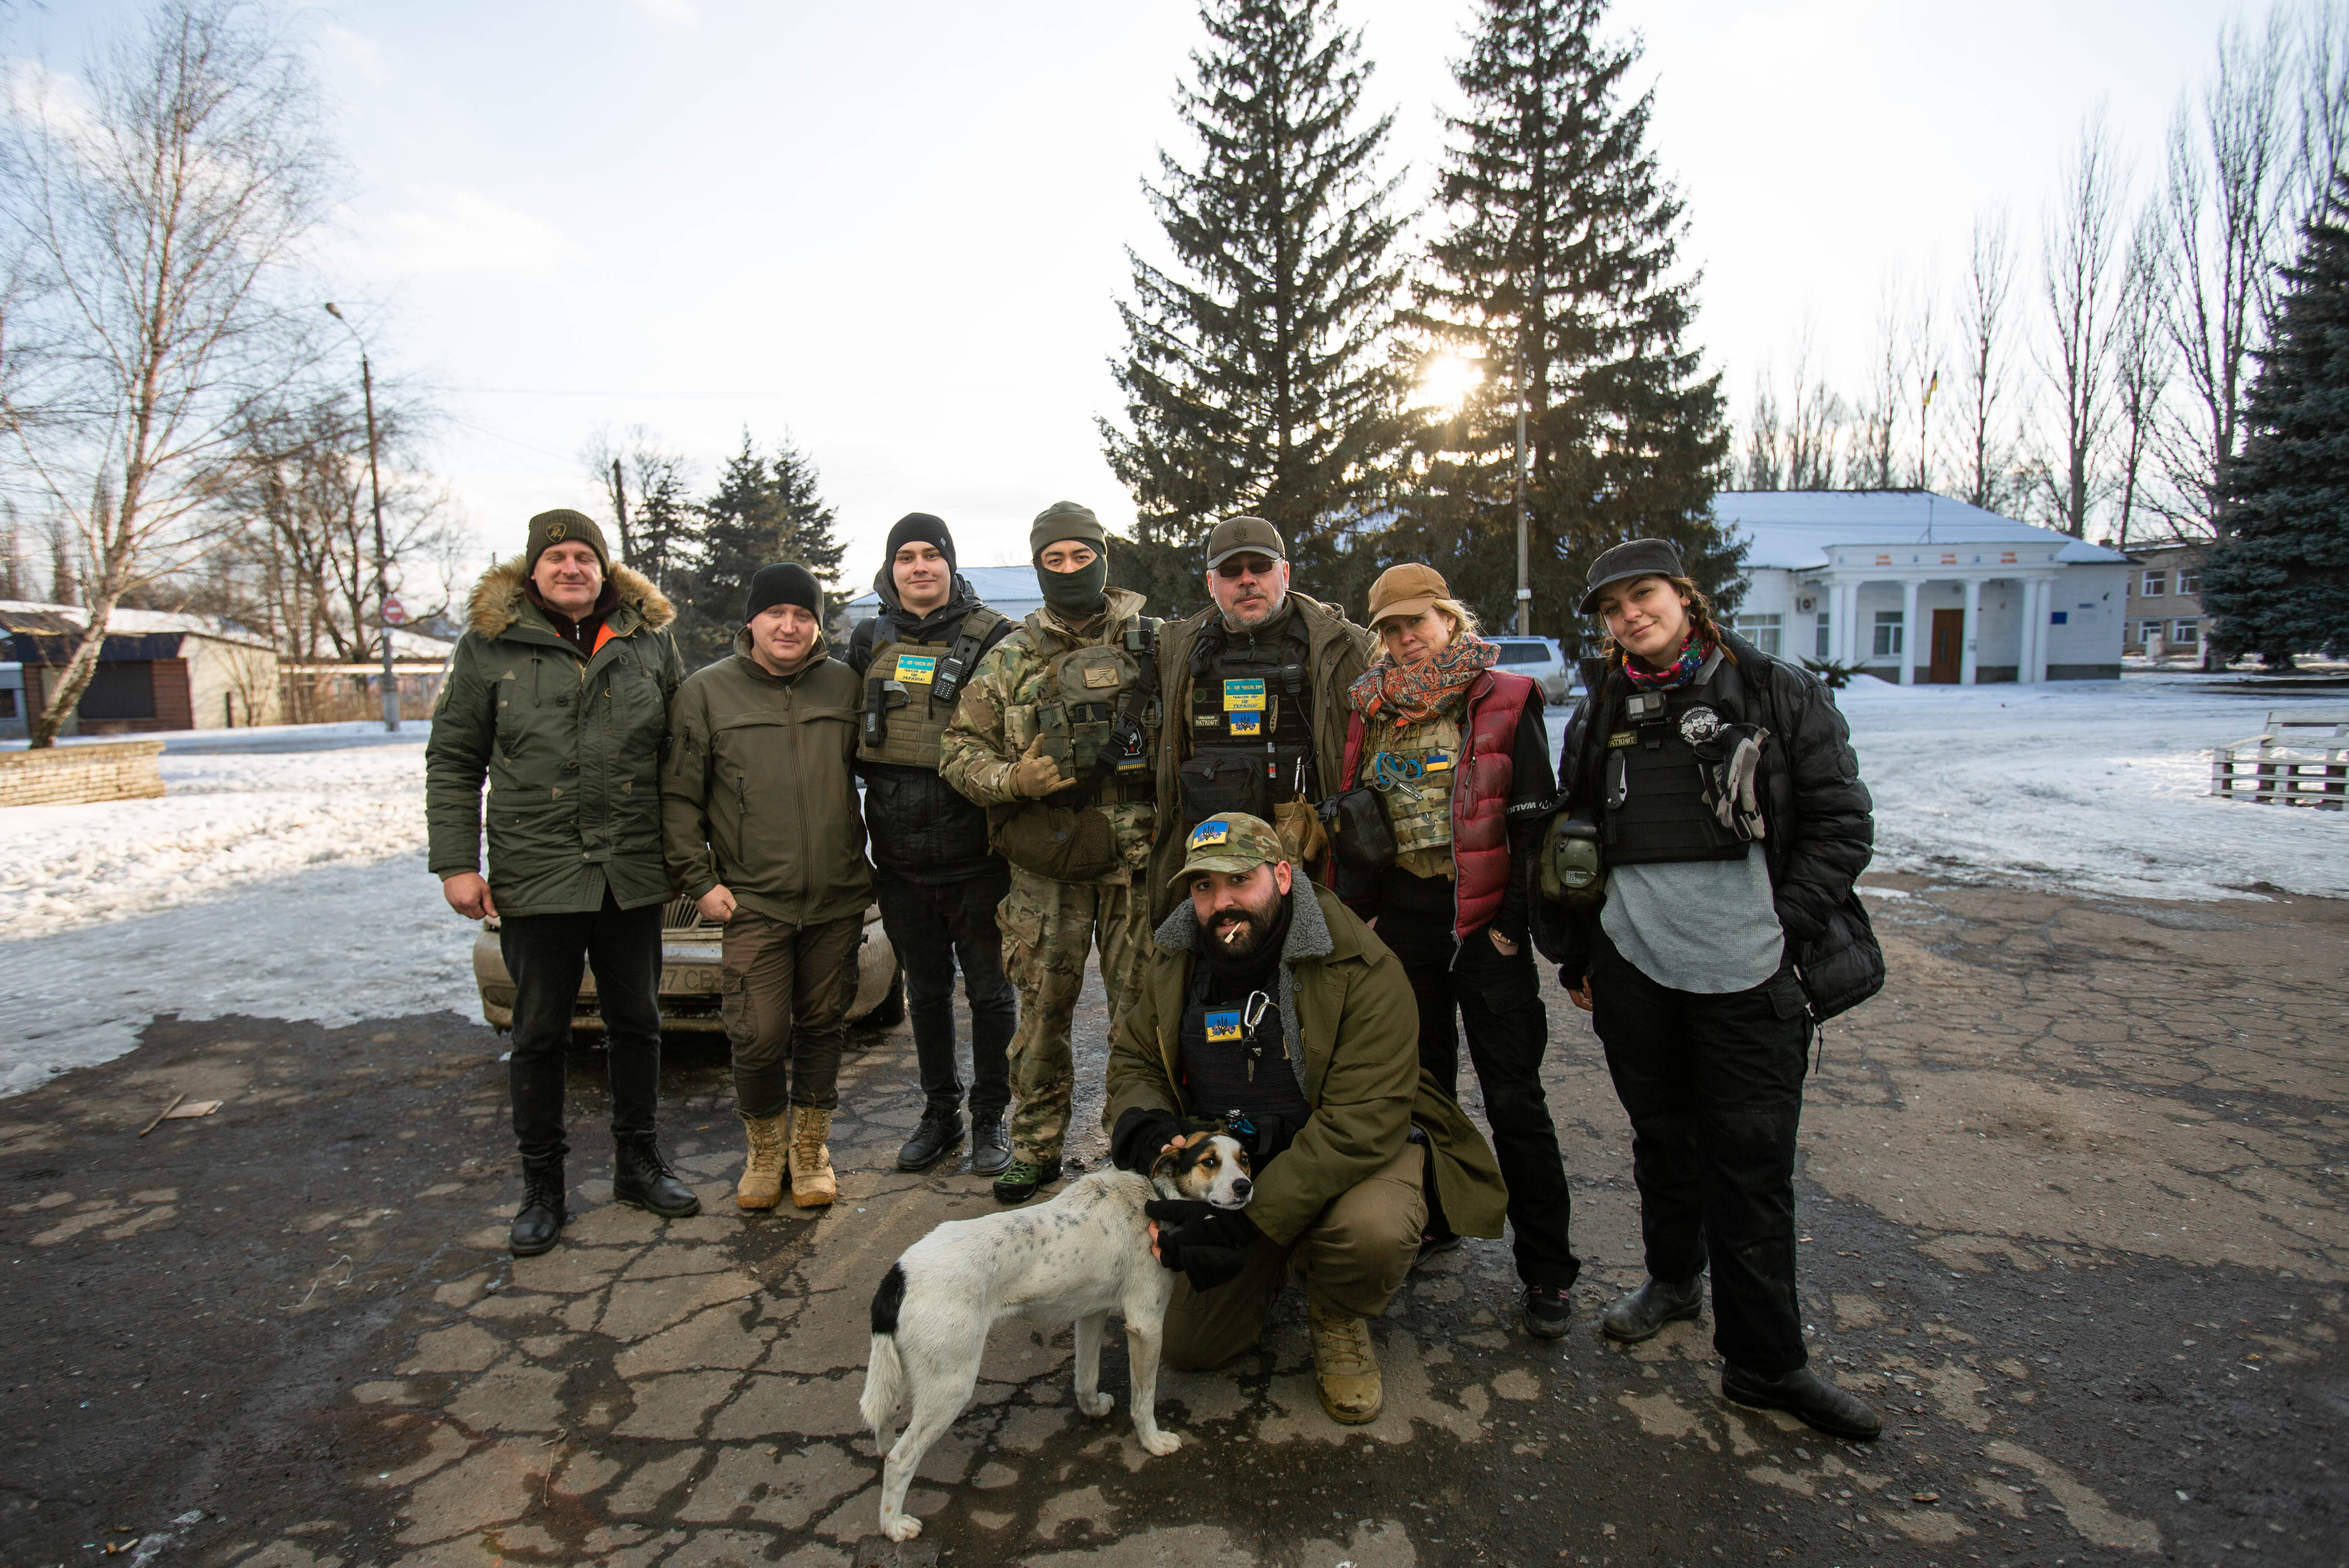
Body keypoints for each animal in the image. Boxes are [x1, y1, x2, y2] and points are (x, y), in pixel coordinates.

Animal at [859, 1127, 1259, 1540]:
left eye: (1244, 1159)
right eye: (1209, 1162)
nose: (1244, 1187)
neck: (1157, 1197)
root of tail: (900, 1273)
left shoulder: (1091, 1312)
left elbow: (1086, 1379)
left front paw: (1093, 1409)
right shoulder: (1146, 1324)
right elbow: (1144, 1399)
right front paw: (1152, 1441)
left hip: (905, 1370)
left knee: (886, 1422)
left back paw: (884, 1456)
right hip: (951, 1385)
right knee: (901, 1459)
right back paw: (893, 1524)